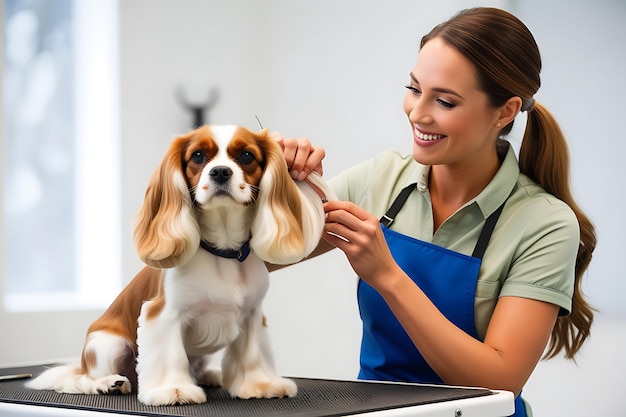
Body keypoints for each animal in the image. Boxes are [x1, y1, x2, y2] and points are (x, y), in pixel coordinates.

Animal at [25, 123, 332, 404]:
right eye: (197, 155)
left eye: (246, 156)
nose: (220, 171)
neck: (223, 251)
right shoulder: (164, 314)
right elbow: (170, 355)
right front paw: (173, 390)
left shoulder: (252, 314)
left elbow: (251, 353)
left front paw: (260, 385)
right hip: (107, 344)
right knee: (80, 379)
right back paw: (107, 383)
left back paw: (209, 375)